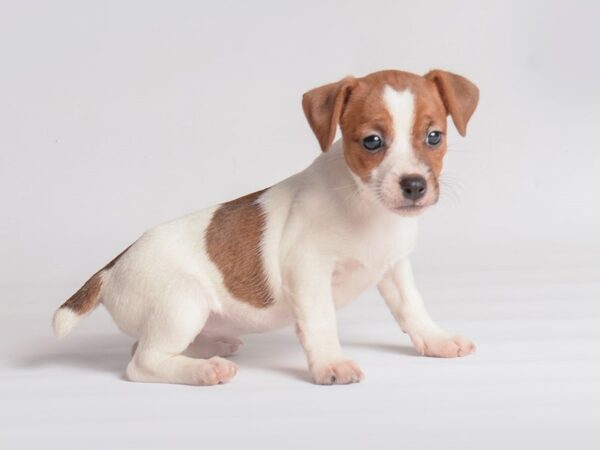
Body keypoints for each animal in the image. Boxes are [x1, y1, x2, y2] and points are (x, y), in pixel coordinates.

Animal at [54, 68, 480, 384]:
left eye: (434, 136)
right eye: (372, 142)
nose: (414, 185)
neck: (365, 207)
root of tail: (111, 269)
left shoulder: (393, 268)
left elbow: (412, 308)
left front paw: (437, 340)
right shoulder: (309, 271)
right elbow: (321, 321)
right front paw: (331, 364)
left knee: (142, 348)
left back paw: (211, 347)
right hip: (182, 302)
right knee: (142, 363)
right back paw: (205, 370)